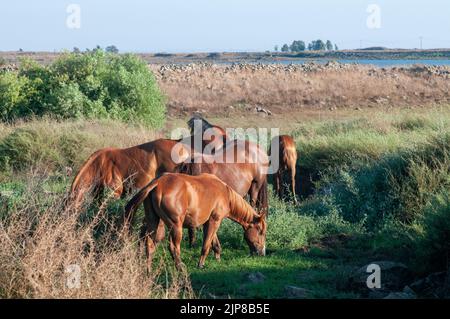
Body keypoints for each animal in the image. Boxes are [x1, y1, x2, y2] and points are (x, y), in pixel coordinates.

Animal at [123, 174, 268, 272]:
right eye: (261, 232)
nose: (262, 252)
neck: (225, 193)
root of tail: (158, 183)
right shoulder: (215, 221)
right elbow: (206, 246)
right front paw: (201, 264)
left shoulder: (208, 222)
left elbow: (214, 243)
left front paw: (217, 258)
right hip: (175, 227)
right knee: (173, 247)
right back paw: (180, 267)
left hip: (154, 222)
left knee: (149, 245)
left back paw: (148, 270)